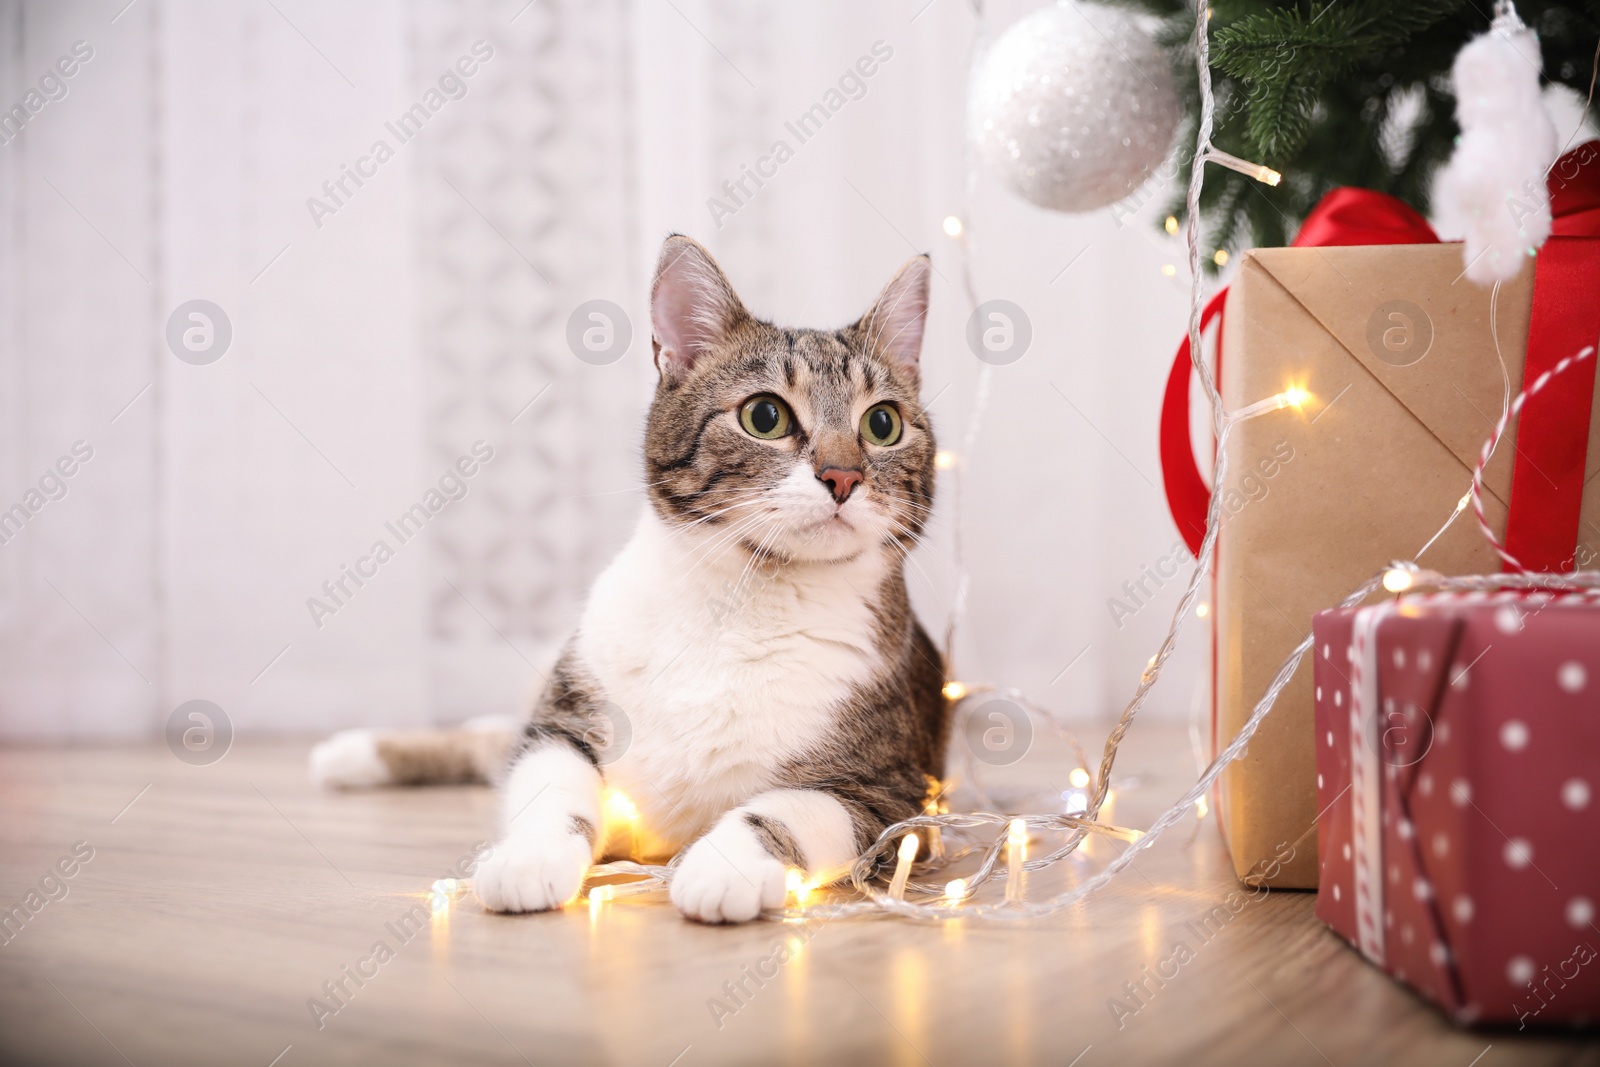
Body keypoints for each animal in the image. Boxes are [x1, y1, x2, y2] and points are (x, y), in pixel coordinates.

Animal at [312, 238, 947, 921]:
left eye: (882, 424)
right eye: (765, 415)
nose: (842, 476)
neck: (743, 605)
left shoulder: (894, 793)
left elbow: (784, 810)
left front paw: (723, 868)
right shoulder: (563, 722)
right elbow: (552, 790)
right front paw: (529, 859)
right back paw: (349, 754)